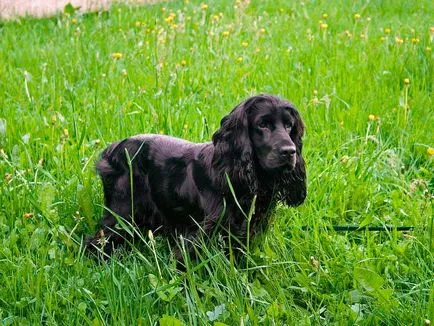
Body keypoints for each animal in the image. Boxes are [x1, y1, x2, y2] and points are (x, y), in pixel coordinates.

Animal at [88, 93, 306, 258]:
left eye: (289, 126)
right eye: (262, 124)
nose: (290, 152)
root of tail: (112, 149)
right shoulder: (201, 234)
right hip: (122, 212)